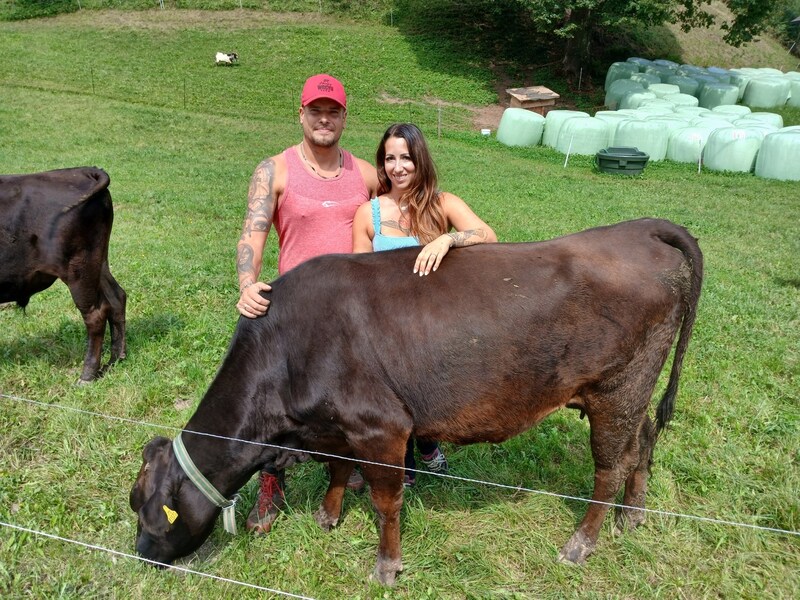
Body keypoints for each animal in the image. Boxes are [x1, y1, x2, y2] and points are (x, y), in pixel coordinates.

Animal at [0, 166, 126, 382]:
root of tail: (84, 171)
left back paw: (87, 375)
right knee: (117, 297)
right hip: (99, 263)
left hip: (79, 270)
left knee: (96, 314)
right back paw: (116, 359)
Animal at [130, 218, 700, 584]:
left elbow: (386, 502)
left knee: (609, 465)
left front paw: (386, 566)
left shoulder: (381, 426)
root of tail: (638, 228)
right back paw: (634, 515)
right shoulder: (339, 426)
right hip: (635, 388)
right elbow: (339, 470)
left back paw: (582, 543)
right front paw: (328, 516)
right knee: (644, 439)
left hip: (615, 389)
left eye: (150, 513)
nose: (141, 555)